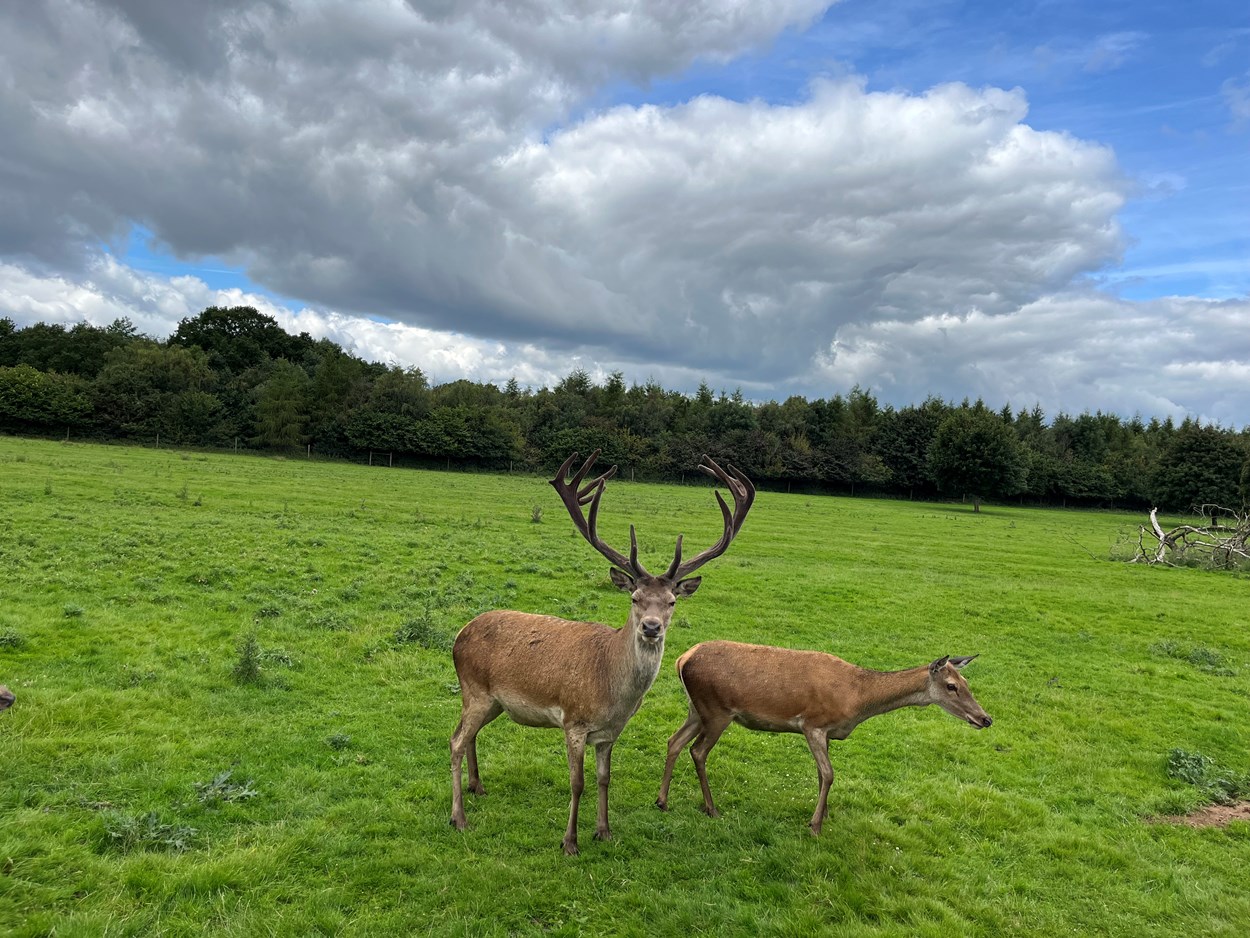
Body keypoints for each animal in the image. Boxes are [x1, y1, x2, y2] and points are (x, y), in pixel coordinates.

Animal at [455, 452, 755, 855]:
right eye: (635, 598)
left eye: (672, 601)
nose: (651, 627)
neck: (611, 692)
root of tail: (459, 635)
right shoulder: (573, 721)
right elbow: (577, 782)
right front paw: (570, 842)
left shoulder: (610, 732)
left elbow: (604, 778)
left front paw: (604, 831)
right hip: (474, 690)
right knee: (455, 741)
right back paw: (458, 818)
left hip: (492, 703)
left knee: (466, 734)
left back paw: (477, 786)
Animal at [655, 645, 995, 835]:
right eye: (951, 686)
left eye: (966, 681)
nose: (985, 718)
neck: (856, 700)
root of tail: (682, 659)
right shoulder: (813, 725)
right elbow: (829, 774)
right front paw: (815, 825)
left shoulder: (828, 731)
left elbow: (821, 775)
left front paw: (825, 814)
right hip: (717, 710)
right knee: (698, 750)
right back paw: (711, 809)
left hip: (696, 709)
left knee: (674, 741)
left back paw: (662, 801)